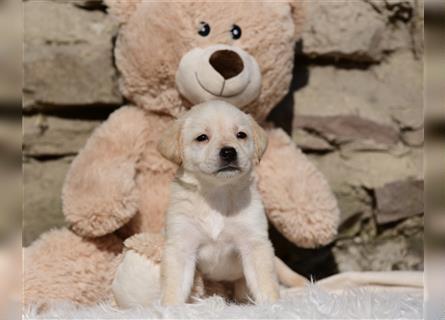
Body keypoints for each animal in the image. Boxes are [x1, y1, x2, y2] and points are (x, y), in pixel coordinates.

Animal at [158, 100, 278, 304]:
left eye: (241, 135)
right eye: (202, 137)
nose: (229, 152)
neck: (217, 194)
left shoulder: (255, 242)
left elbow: (265, 283)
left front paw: (273, 305)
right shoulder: (181, 245)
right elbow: (174, 287)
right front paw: (168, 307)